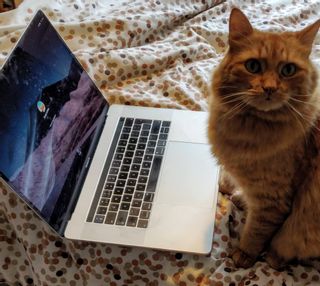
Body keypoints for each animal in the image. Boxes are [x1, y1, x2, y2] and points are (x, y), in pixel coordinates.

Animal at [208, 8, 320, 268]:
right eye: (253, 66)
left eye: (288, 70)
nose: (270, 88)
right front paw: (233, 190)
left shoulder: (272, 199)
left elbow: (255, 231)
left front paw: (244, 255)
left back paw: (273, 257)